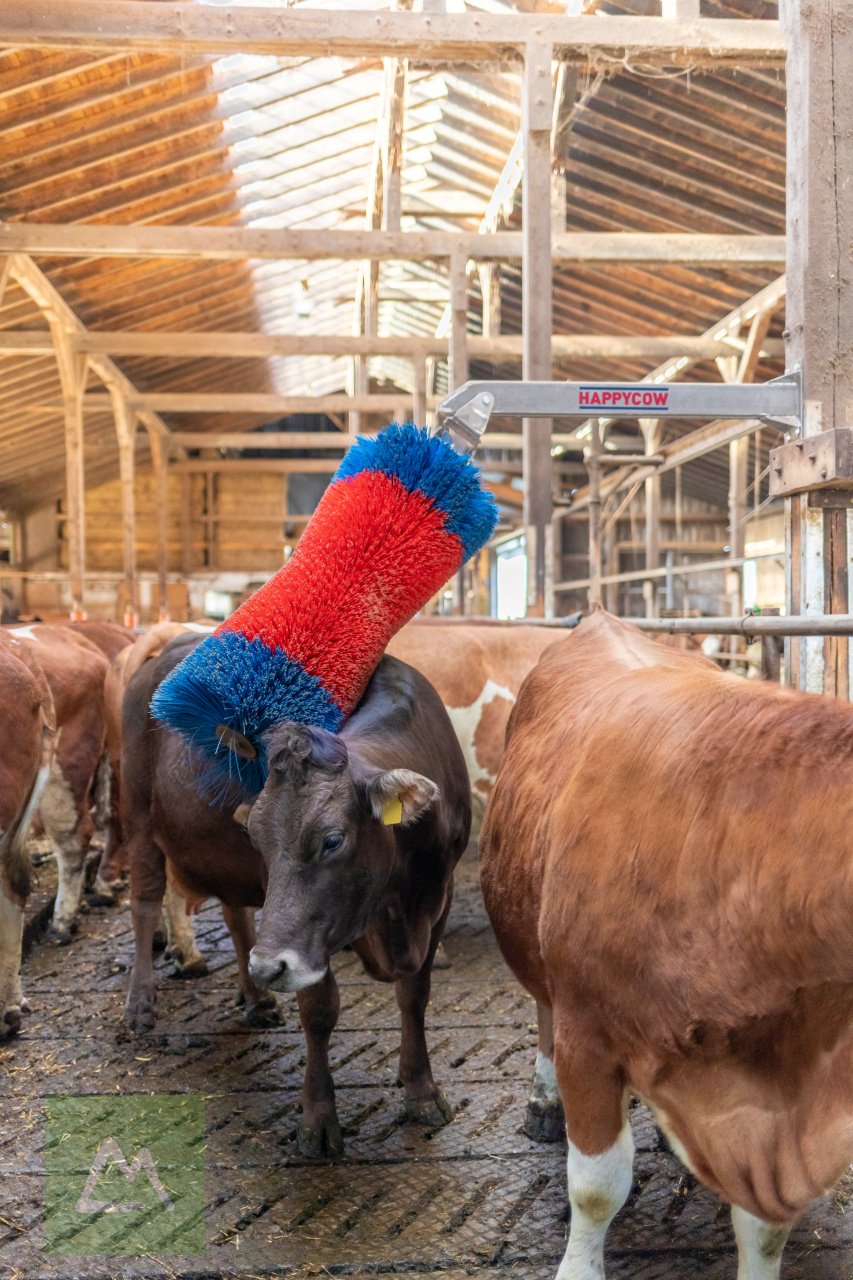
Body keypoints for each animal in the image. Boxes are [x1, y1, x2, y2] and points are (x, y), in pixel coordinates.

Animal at [122, 634, 468, 1157]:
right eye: (258, 837)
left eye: (332, 840)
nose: (268, 968)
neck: (394, 906)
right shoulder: (303, 936)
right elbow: (320, 1011)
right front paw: (318, 1119)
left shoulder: (437, 900)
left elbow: (415, 996)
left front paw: (422, 1091)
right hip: (138, 817)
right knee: (144, 903)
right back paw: (141, 1003)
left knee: (235, 915)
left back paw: (257, 1000)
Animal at [473, 609, 850, 1280]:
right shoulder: (587, 1036)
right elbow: (597, 1185)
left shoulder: (777, 1108)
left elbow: (764, 1227)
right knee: (541, 1009)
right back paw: (544, 1105)